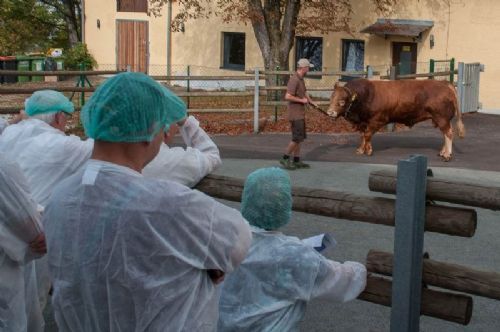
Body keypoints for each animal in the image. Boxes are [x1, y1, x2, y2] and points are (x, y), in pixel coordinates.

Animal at [328, 78, 464, 161]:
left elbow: (367, 134)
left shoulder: (377, 119)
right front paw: (361, 149)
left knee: (449, 133)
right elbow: (363, 135)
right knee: (445, 134)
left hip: (442, 117)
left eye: (342, 101)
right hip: (442, 119)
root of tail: (444, 83)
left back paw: (447, 155)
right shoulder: (363, 122)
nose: (330, 112)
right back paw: (442, 152)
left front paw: (369, 150)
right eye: (331, 98)